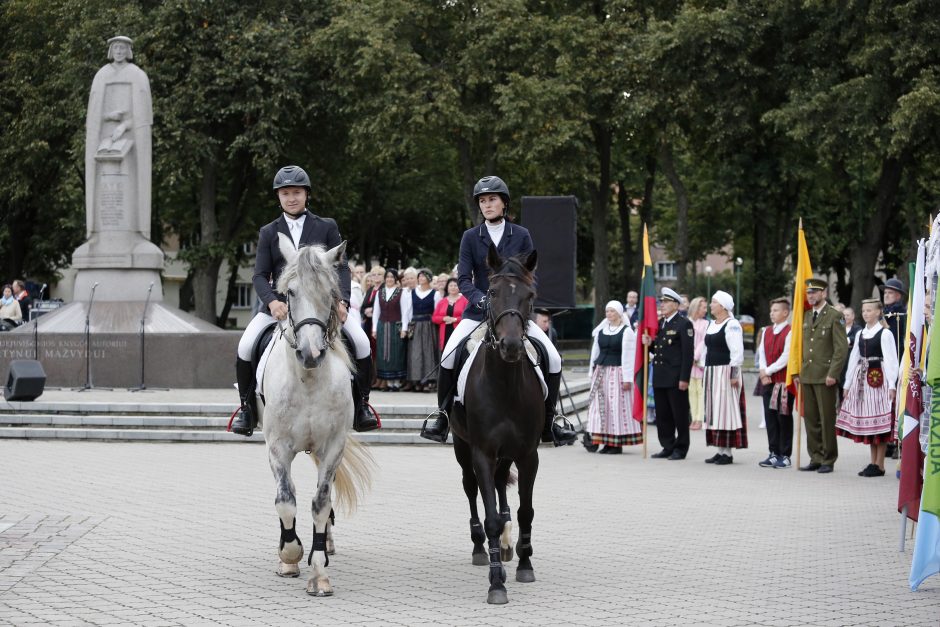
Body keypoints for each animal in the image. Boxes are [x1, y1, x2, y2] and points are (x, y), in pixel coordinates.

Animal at [260, 236, 374, 600]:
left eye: (330, 292)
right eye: (290, 292)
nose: (311, 353)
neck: (308, 380)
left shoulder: (333, 445)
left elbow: (321, 503)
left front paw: (319, 570)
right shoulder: (277, 447)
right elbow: (285, 500)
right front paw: (290, 555)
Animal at [448, 244, 544, 604]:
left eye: (530, 296)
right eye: (491, 292)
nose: (512, 346)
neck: (504, 385)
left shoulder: (529, 454)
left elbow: (526, 510)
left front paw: (524, 564)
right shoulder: (482, 452)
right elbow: (488, 514)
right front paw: (496, 583)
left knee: (504, 484)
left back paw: (506, 544)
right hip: (462, 448)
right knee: (470, 488)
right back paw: (481, 548)